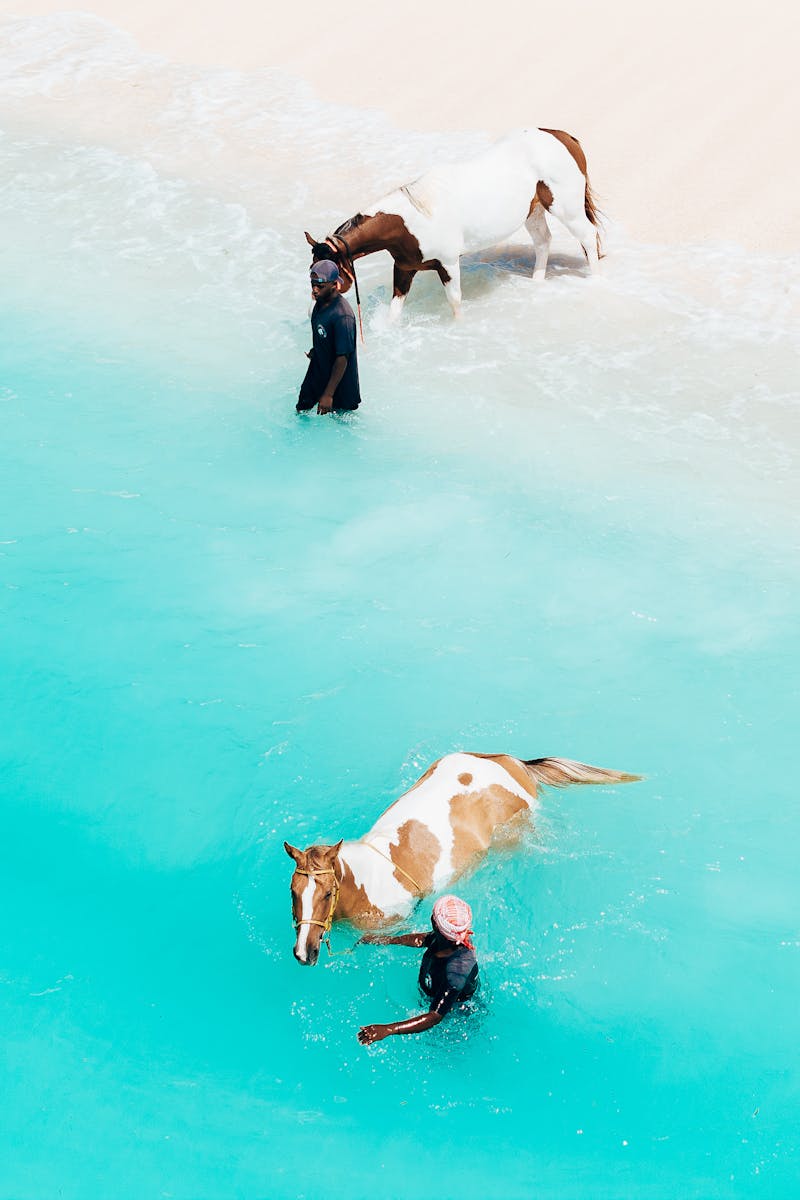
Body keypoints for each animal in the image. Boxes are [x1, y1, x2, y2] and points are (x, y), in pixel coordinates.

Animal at [306, 127, 601, 321]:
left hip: (566, 209)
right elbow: (395, 310)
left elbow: (455, 302)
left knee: (588, 237)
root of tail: (563, 137)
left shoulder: (447, 264)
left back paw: (595, 281)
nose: (315, 306)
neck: (411, 222)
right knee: (543, 241)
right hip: (534, 211)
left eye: (328, 272)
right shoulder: (404, 269)